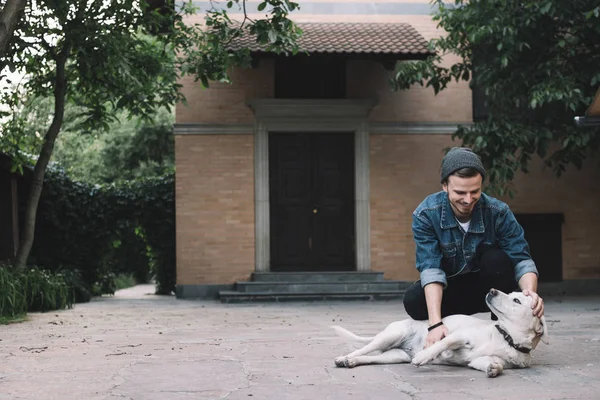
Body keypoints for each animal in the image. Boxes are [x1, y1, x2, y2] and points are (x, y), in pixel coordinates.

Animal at [332, 288, 548, 378]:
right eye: (512, 295)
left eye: (517, 300)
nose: (492, 290)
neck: (506, 337)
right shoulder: (459, 335)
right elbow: (441, 343)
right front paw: (425, 356)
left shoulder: (479, 360)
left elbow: (497, 365)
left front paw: (493, 369)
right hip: (391, 336)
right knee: (363, 349)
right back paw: (344, 358)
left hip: (394, 356)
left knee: (370, 358)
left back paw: (351, 362)